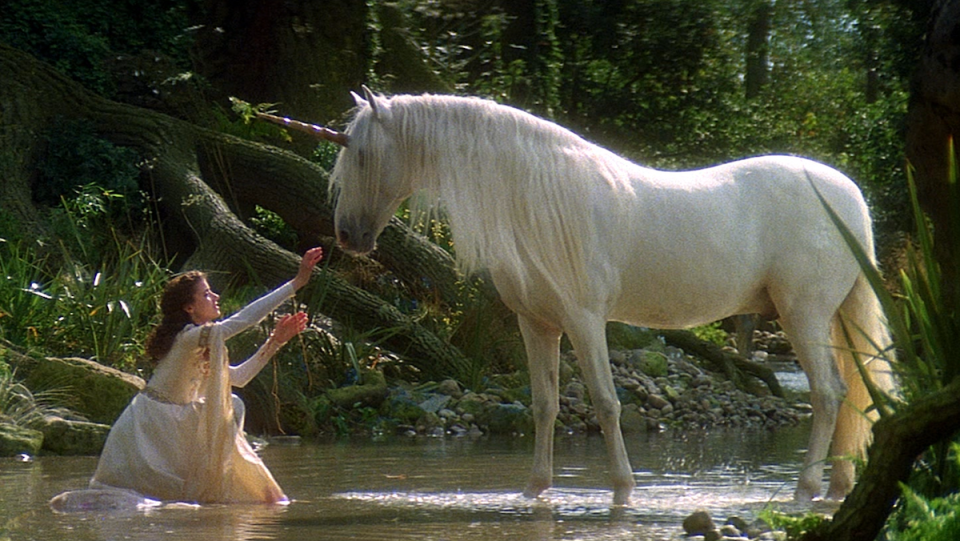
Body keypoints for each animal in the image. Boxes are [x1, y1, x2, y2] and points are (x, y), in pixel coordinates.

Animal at [316, 86, 892, 504]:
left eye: (362, 157)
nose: (346, 236)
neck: (538, 196)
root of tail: (850, 196)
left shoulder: (585, 319)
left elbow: (606, 403)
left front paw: (622, 489)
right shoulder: (537, 324)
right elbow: (545, 404)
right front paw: (535, 490)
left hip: (804, 315)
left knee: (826, 394)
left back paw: (805, 490)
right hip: (828, 319)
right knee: (846, 395)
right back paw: (837, 488)